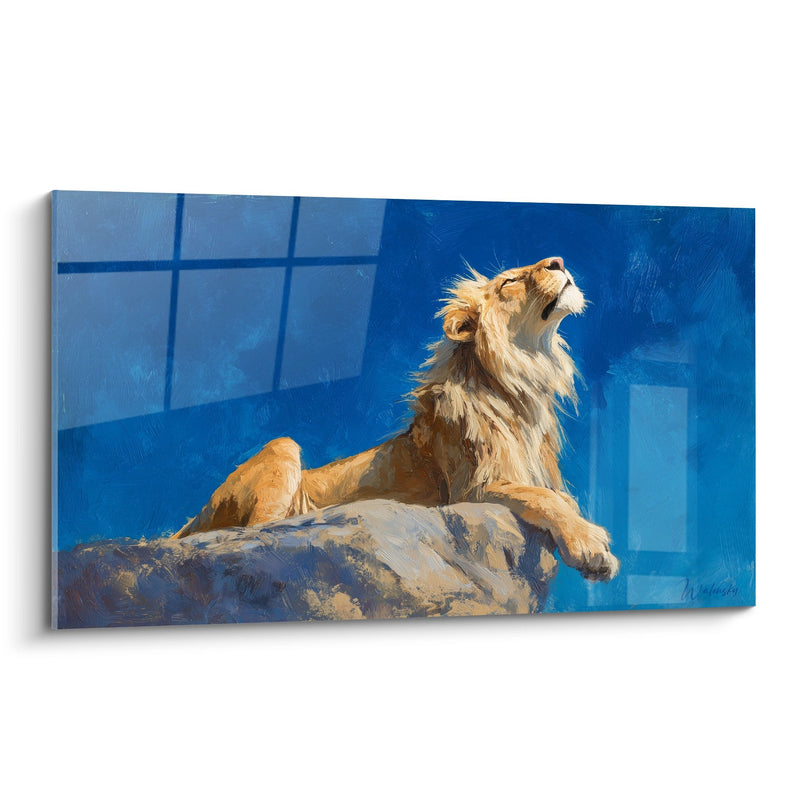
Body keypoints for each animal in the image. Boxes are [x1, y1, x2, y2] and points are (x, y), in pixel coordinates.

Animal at [172, 256, 619, 582]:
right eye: (508, 282)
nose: (559, 261)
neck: (522, 386)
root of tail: (188, 523)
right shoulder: (467, 491)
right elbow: (543, 497)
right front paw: (591, 546)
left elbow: (559, 496)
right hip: (283, 448)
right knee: (255, 534)